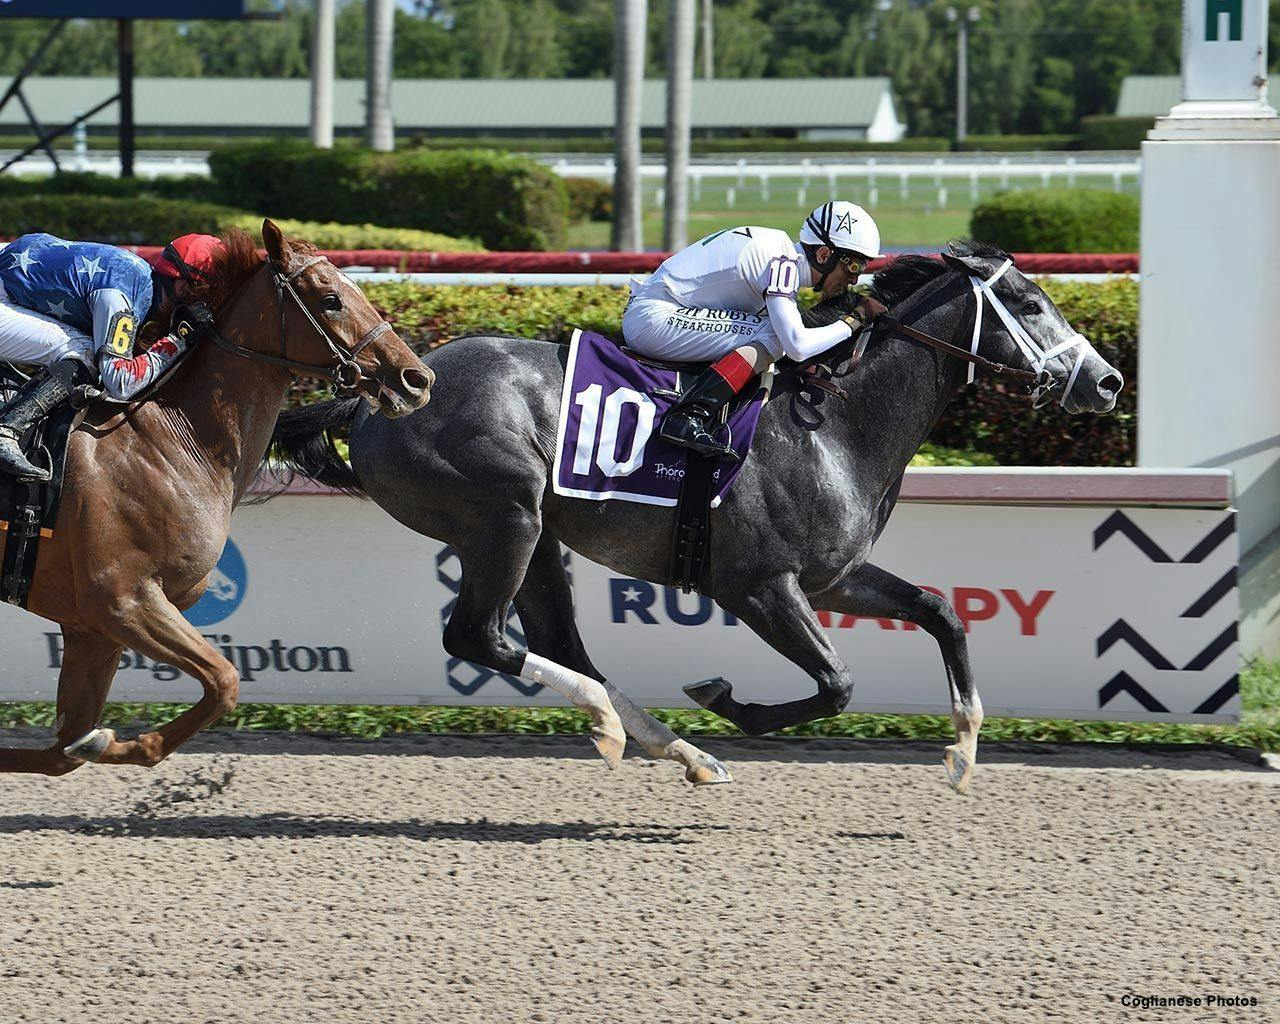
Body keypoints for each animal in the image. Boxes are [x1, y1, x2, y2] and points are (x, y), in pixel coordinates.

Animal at [0, 217, 435, 778]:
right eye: (331, 299)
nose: (416, 378)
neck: (171, 442)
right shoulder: (121, 601)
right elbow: (225, 681)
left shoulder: (91, 629)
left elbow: (65, 749)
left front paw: (95, 745)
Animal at [270, 244, 1121, 793]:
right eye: (1032, 304)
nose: (1108, 382)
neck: (834, 424)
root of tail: (376, 398)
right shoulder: (757, 585)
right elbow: (837, 684)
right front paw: (726, 698)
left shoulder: (834, 579)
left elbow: (942, 611)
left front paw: (965, 750)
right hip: (502, 517)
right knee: (478, 638)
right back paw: (630, 731)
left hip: (535, 534)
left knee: (557, 644)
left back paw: (673, 750)